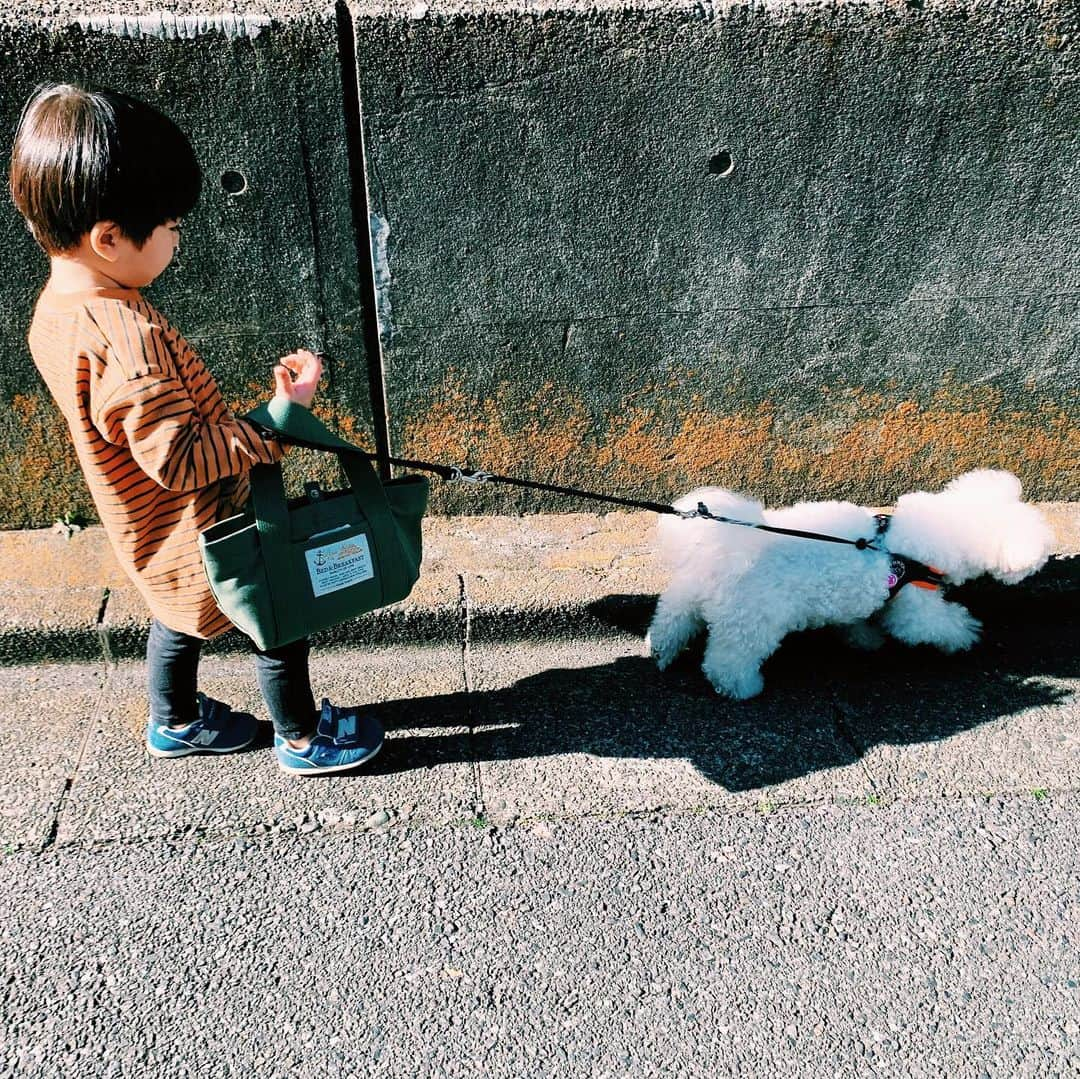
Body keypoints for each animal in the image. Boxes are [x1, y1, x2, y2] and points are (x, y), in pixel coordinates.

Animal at [643, 473, 1049, 699]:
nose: (1045, 556)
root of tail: (731, 544)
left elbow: (857, 622)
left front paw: (865, 641)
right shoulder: (915, 602)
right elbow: (938, 625)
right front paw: (966, 637)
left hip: (688, 594)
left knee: (671, 622)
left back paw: (662, 652)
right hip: (754, 621)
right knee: (728, 660)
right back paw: (741, 688)